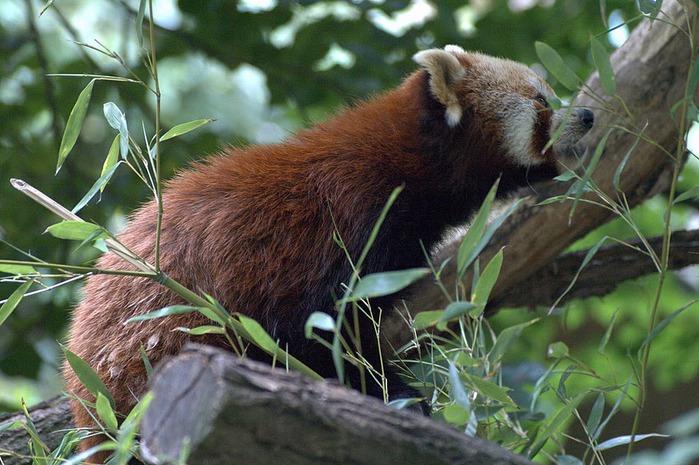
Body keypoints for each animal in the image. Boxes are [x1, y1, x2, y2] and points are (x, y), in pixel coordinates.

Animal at [65, 45, 592, 458]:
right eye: (542, 99)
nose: (587, 115)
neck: (409, 165)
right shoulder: (343, 224)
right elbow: (314, 334)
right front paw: (393, 392)